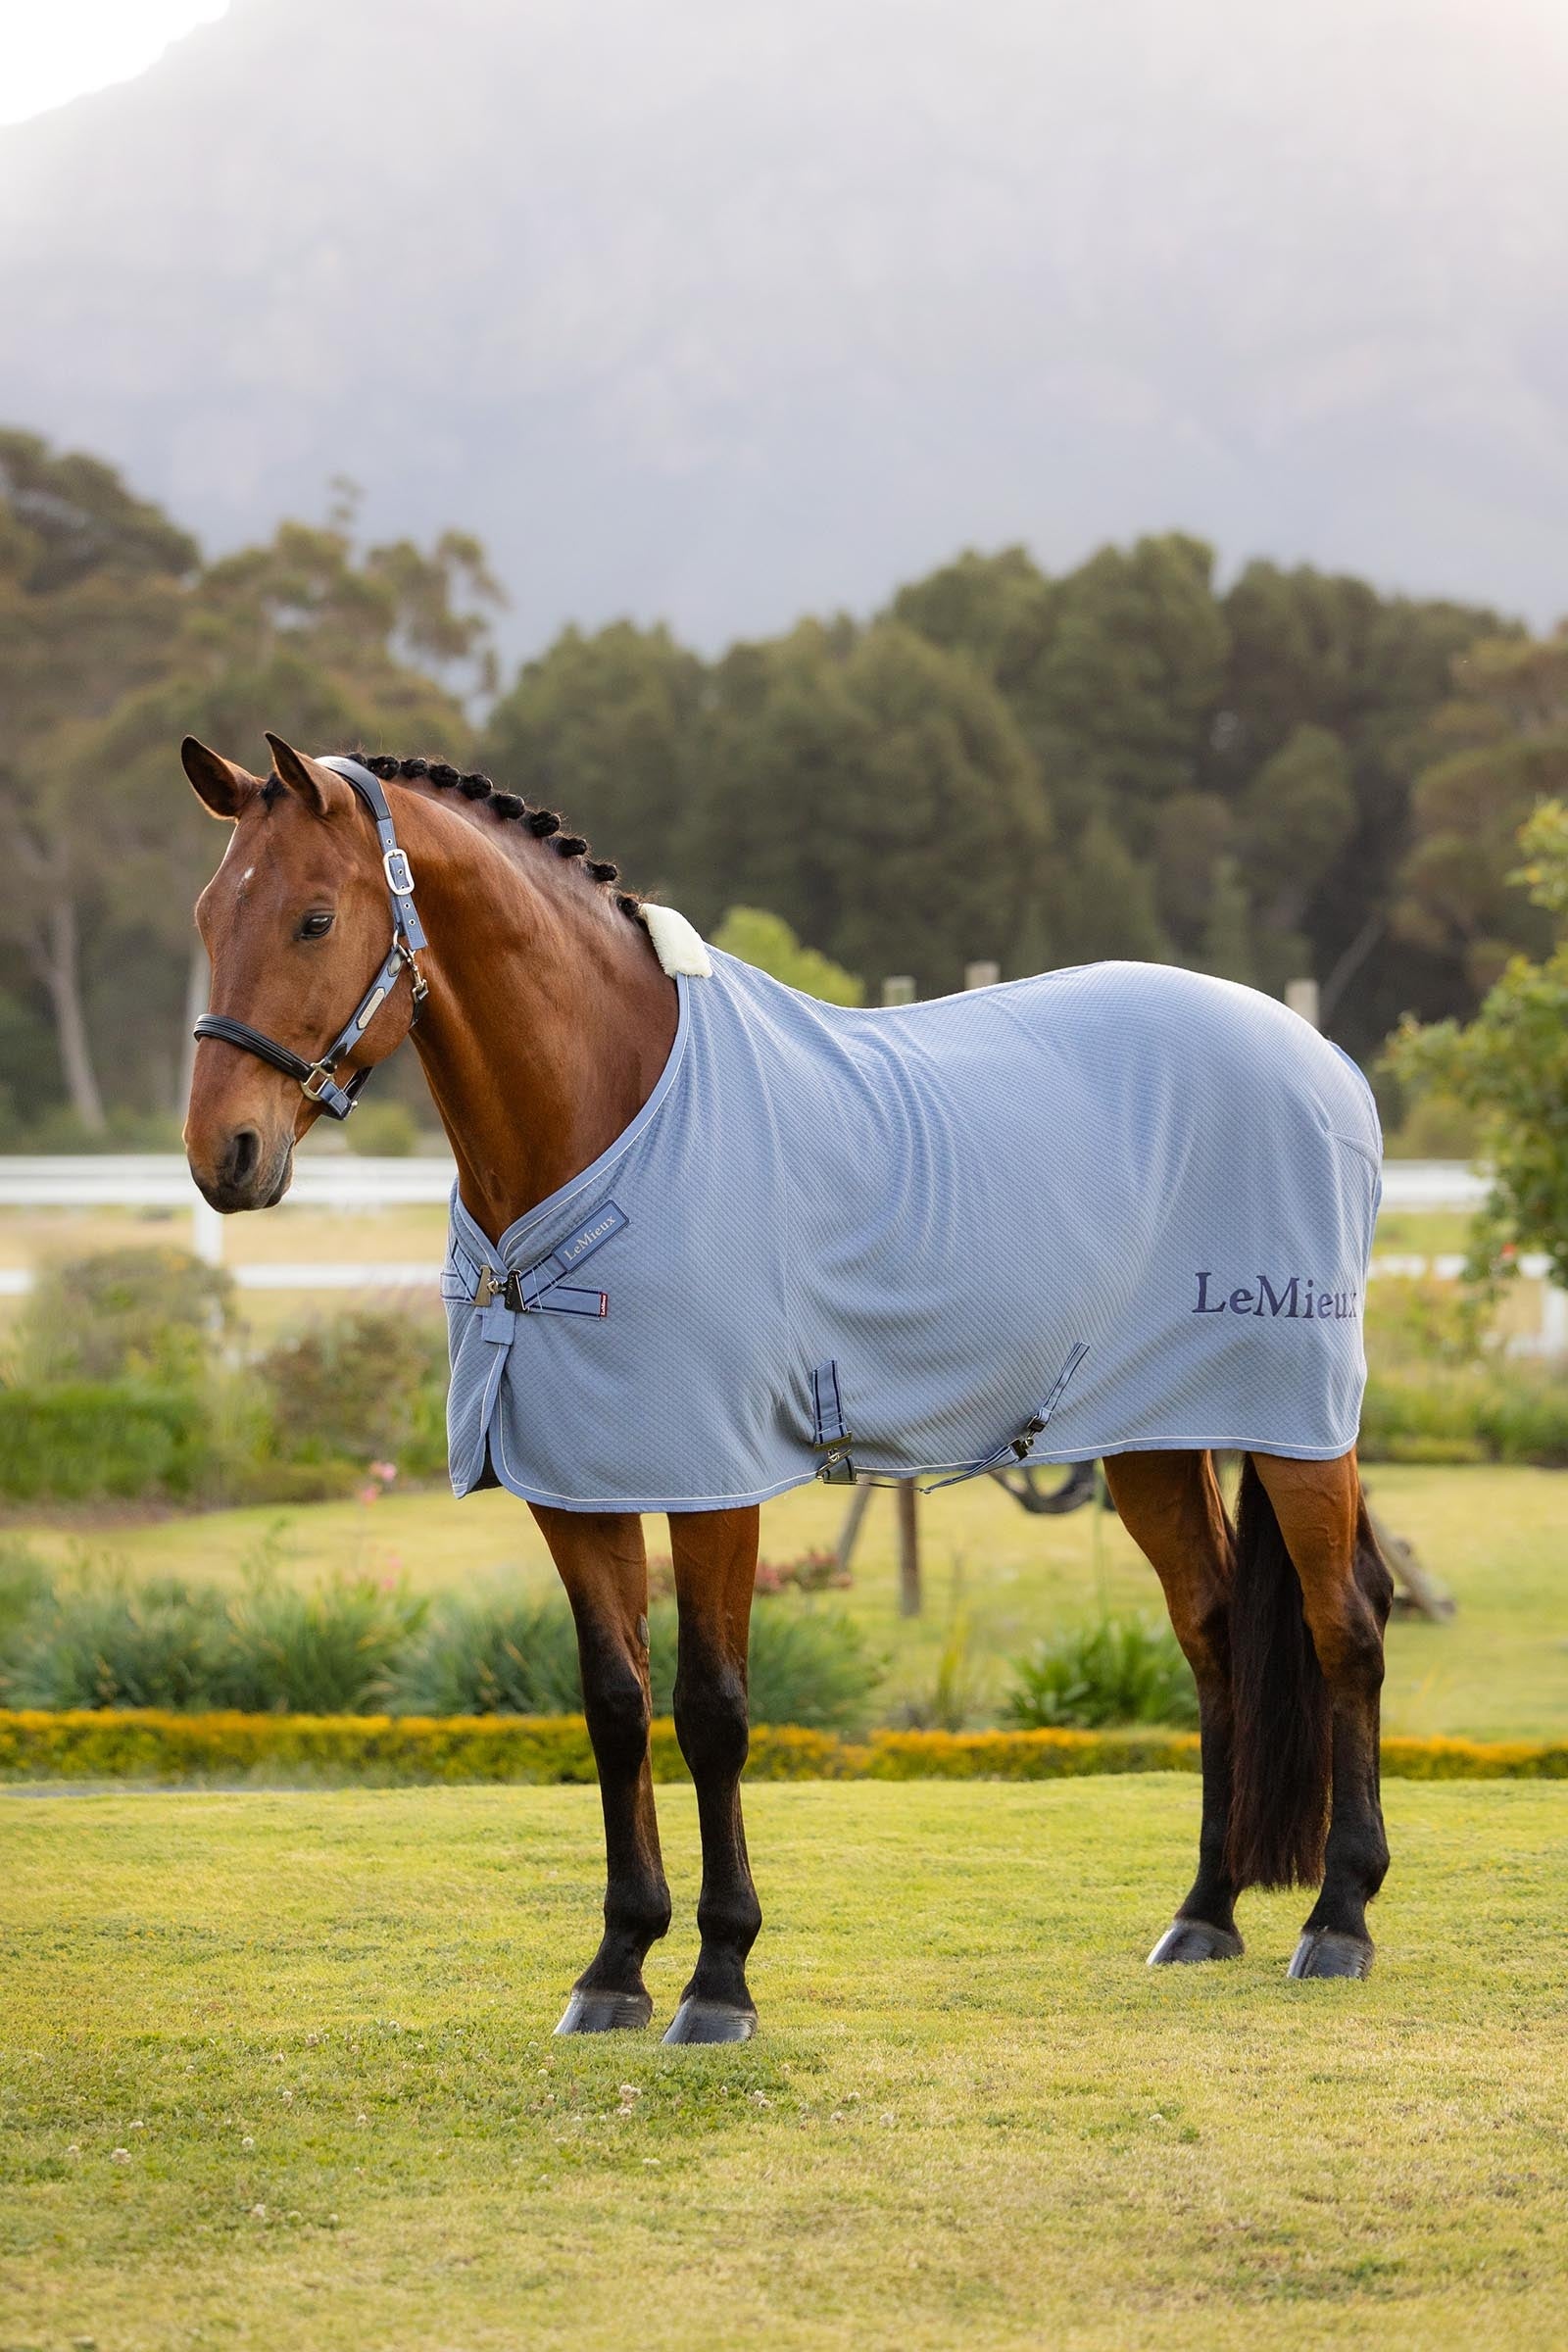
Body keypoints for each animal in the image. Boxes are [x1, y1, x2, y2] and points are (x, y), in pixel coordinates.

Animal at [180, 731, 1395, 2043]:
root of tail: (1323, 1059)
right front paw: (614, 1966)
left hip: (1297, 1426)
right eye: (208, 913)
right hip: (1152, 1442)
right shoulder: (573, 1486)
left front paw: (718, 1978)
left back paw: (1339, 1917)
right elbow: (614, 1706)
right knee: (1214, 1634)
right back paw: (1206, 1912)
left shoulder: (713, 1484)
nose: (223, 1156)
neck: (610, 1114)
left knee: (1344, 1627)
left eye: (313, 917)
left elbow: (711, 1713)